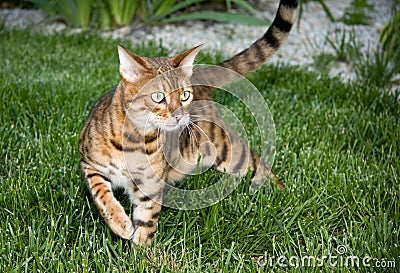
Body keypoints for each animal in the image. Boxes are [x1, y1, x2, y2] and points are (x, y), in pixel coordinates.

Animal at [79, 0, 296, 244]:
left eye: (184, 95)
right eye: (158, 97)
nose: (179, 115)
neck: (135, 140)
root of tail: (199, 75)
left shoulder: (150, 187)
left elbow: (146, 223)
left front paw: (142, 250)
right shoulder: (88, 163)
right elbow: (101, 194)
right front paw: (120, 223)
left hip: (226, 150)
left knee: (260, 164)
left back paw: (283, 194)